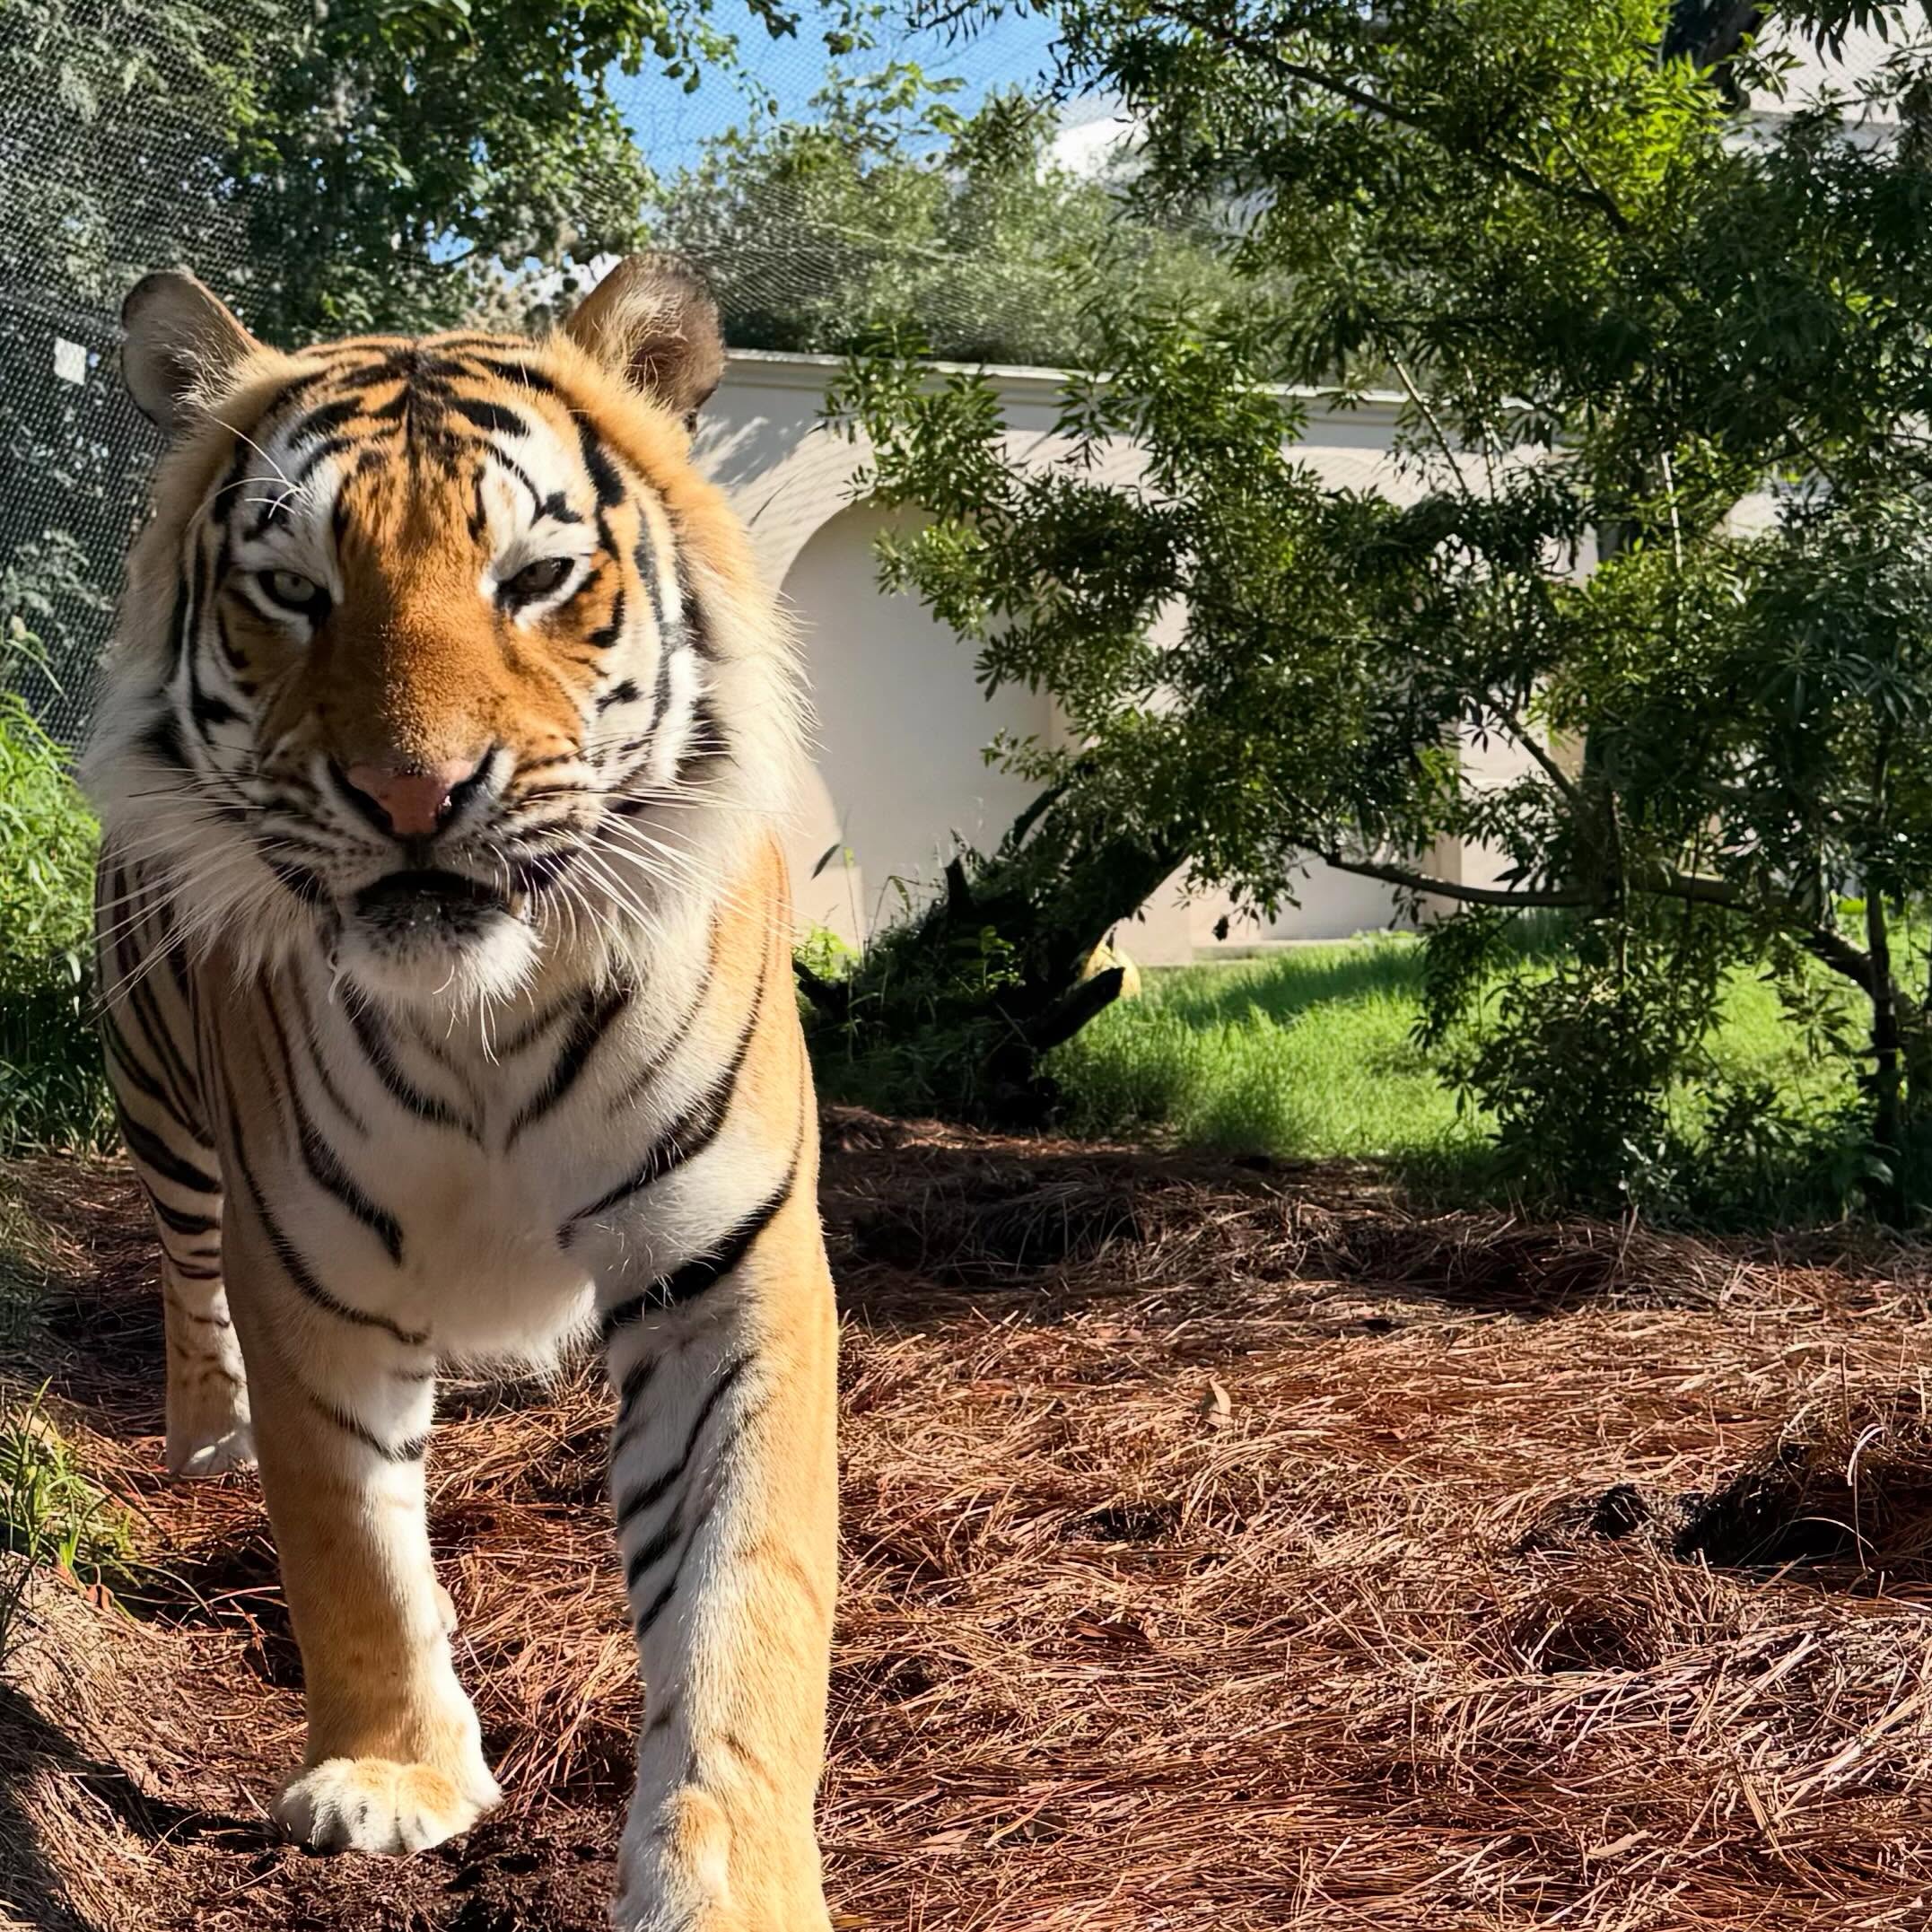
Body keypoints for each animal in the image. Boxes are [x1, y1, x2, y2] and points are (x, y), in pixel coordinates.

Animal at [83, 256, 839, 1932]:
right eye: (294, 587)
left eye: (538, 577)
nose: (414, 795)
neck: (483, 1018)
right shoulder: (306, 1271)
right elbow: (350, 1544)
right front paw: (389, 1779)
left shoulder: (728, 1271)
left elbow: (743, 1601)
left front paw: (733, 1881)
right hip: (163, 1113)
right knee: (180, 1278)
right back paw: (206, 1439)